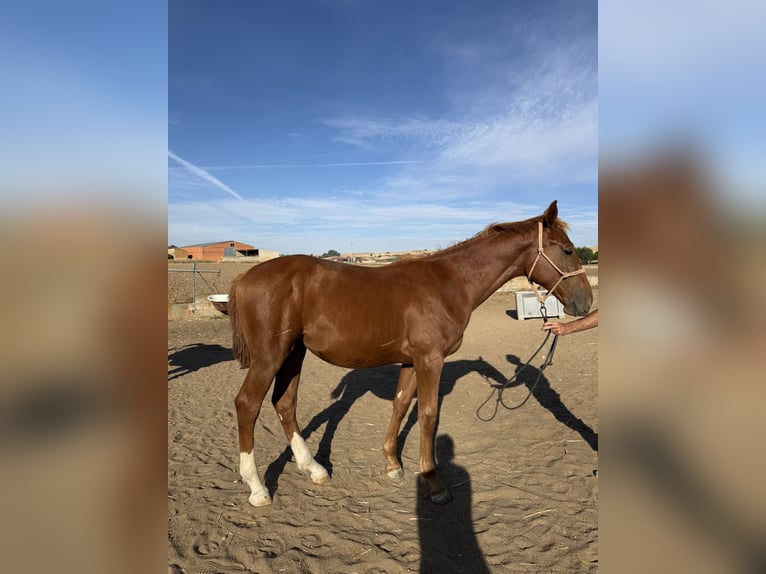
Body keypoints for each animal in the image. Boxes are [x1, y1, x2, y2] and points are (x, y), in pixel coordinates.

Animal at [228, 200, 592, 507]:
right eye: (567, 249)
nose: (585, 302)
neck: (450, 282)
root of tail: (244, 277)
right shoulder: (430, 359)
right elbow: (428, 414)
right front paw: (432, 481)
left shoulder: (410, 360)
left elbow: (401, 404)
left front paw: (392, 463)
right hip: (269, 358)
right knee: (248, 404)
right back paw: (258, 488)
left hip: (293, 354)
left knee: (284, 403)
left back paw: (313, 468)